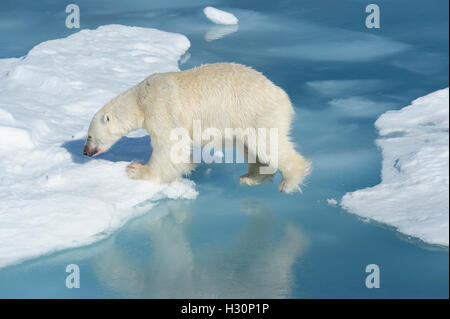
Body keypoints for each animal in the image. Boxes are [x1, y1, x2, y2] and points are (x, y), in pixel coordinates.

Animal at [83, 62, 310, 192]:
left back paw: (289, 183)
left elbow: (170, 144)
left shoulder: (160, 106)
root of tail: (281, 94)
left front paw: (136, 169)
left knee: (267, 143)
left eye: (89, 136)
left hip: (255, 112)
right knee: (250, 147)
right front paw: (187, 167)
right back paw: (250, 178)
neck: (140, 99)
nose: (85, 152)